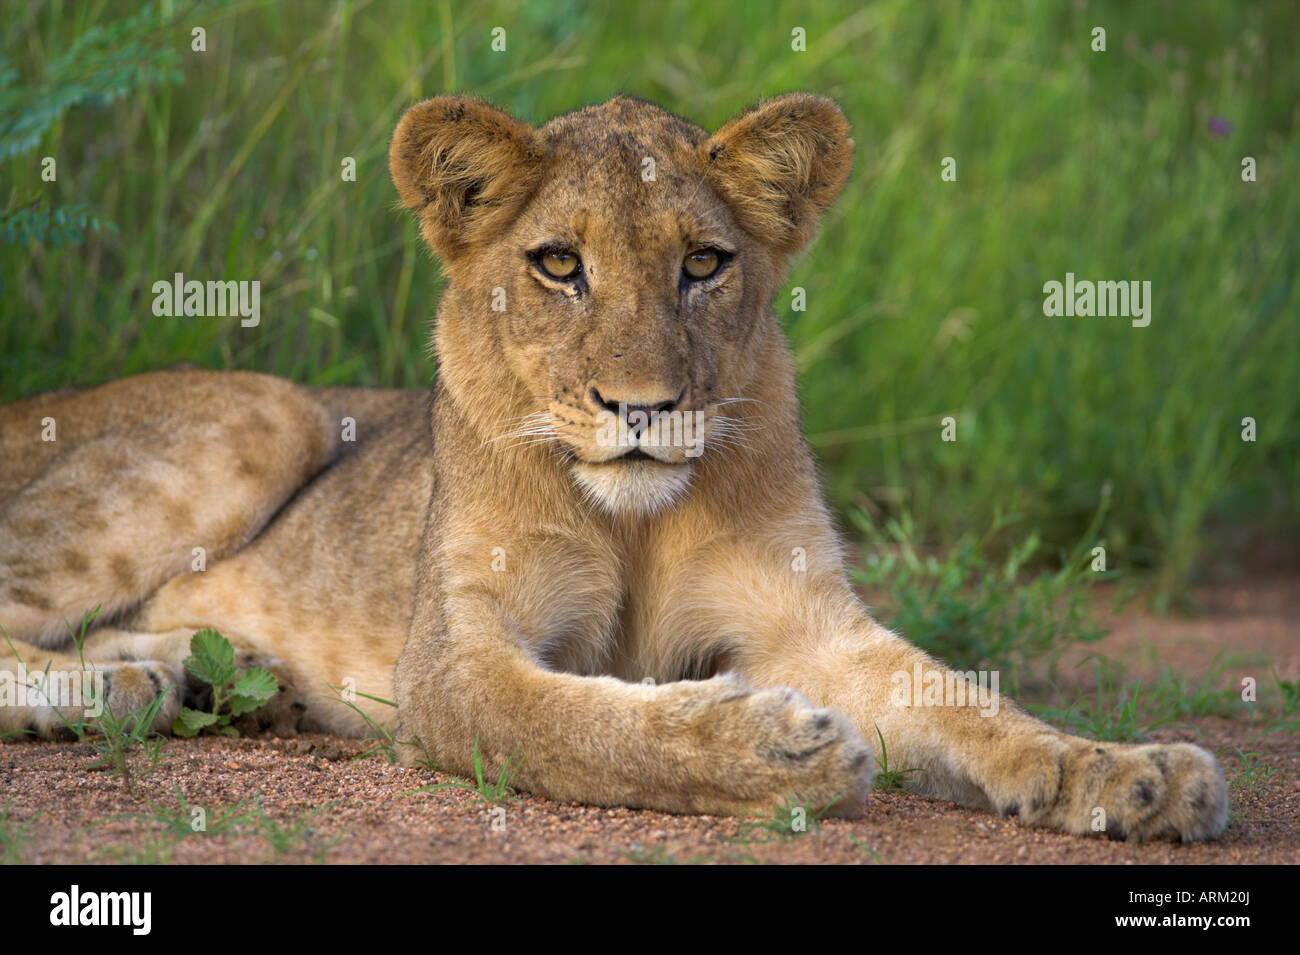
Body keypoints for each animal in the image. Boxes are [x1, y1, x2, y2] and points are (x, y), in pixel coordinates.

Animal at [0, 94, 1227, 840]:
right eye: (558, 265)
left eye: (703, 263)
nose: (643, 407)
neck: (636, 519)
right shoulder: (452, 663)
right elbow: (588, 727)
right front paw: (775, 748)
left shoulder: (808, 623)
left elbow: (966, 701)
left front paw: (1133, 773)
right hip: (262, 411)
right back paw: (119, 689)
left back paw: (186, 672)